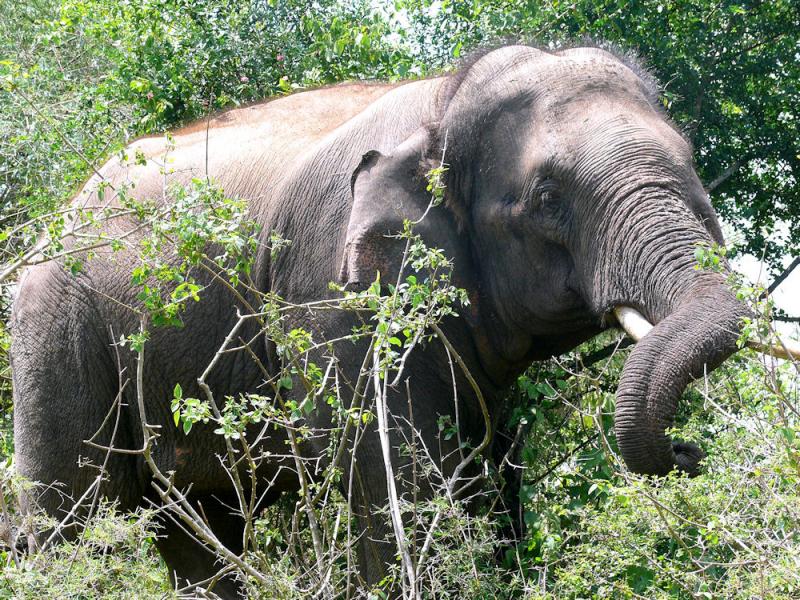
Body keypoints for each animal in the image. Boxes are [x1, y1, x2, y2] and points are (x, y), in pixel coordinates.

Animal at [11, 44, 789, 597]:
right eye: (546, 196)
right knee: (72, 512)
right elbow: (397, 476)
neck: (445, 99)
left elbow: (484, 471)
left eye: (691, 163)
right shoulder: (331, 294)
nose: (689, 451)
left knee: (199, 525)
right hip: (53, 320)